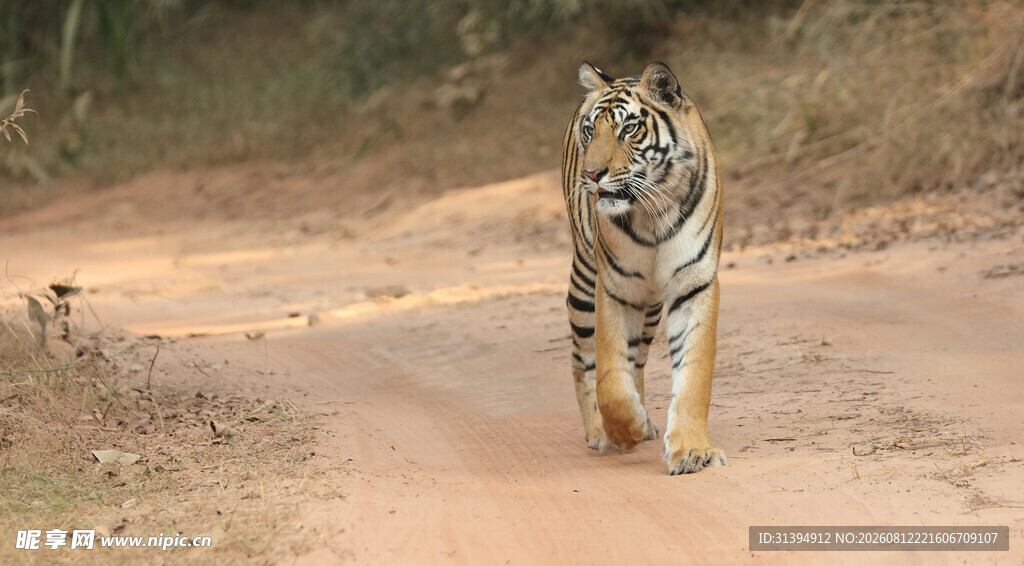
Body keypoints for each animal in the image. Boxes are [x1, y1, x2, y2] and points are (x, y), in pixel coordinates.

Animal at [561, 61, 726, 475]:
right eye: (591, 130)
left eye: (628, 129)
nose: (592, 175)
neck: (653, 214)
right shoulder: (614, 288)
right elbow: (610, 378)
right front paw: (625, 430)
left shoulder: (694, 284)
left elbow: (694, 373)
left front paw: (693, 451)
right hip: (584, 283)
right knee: (582, 358)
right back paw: (599, 431)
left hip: (649, 305)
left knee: (637, 357)